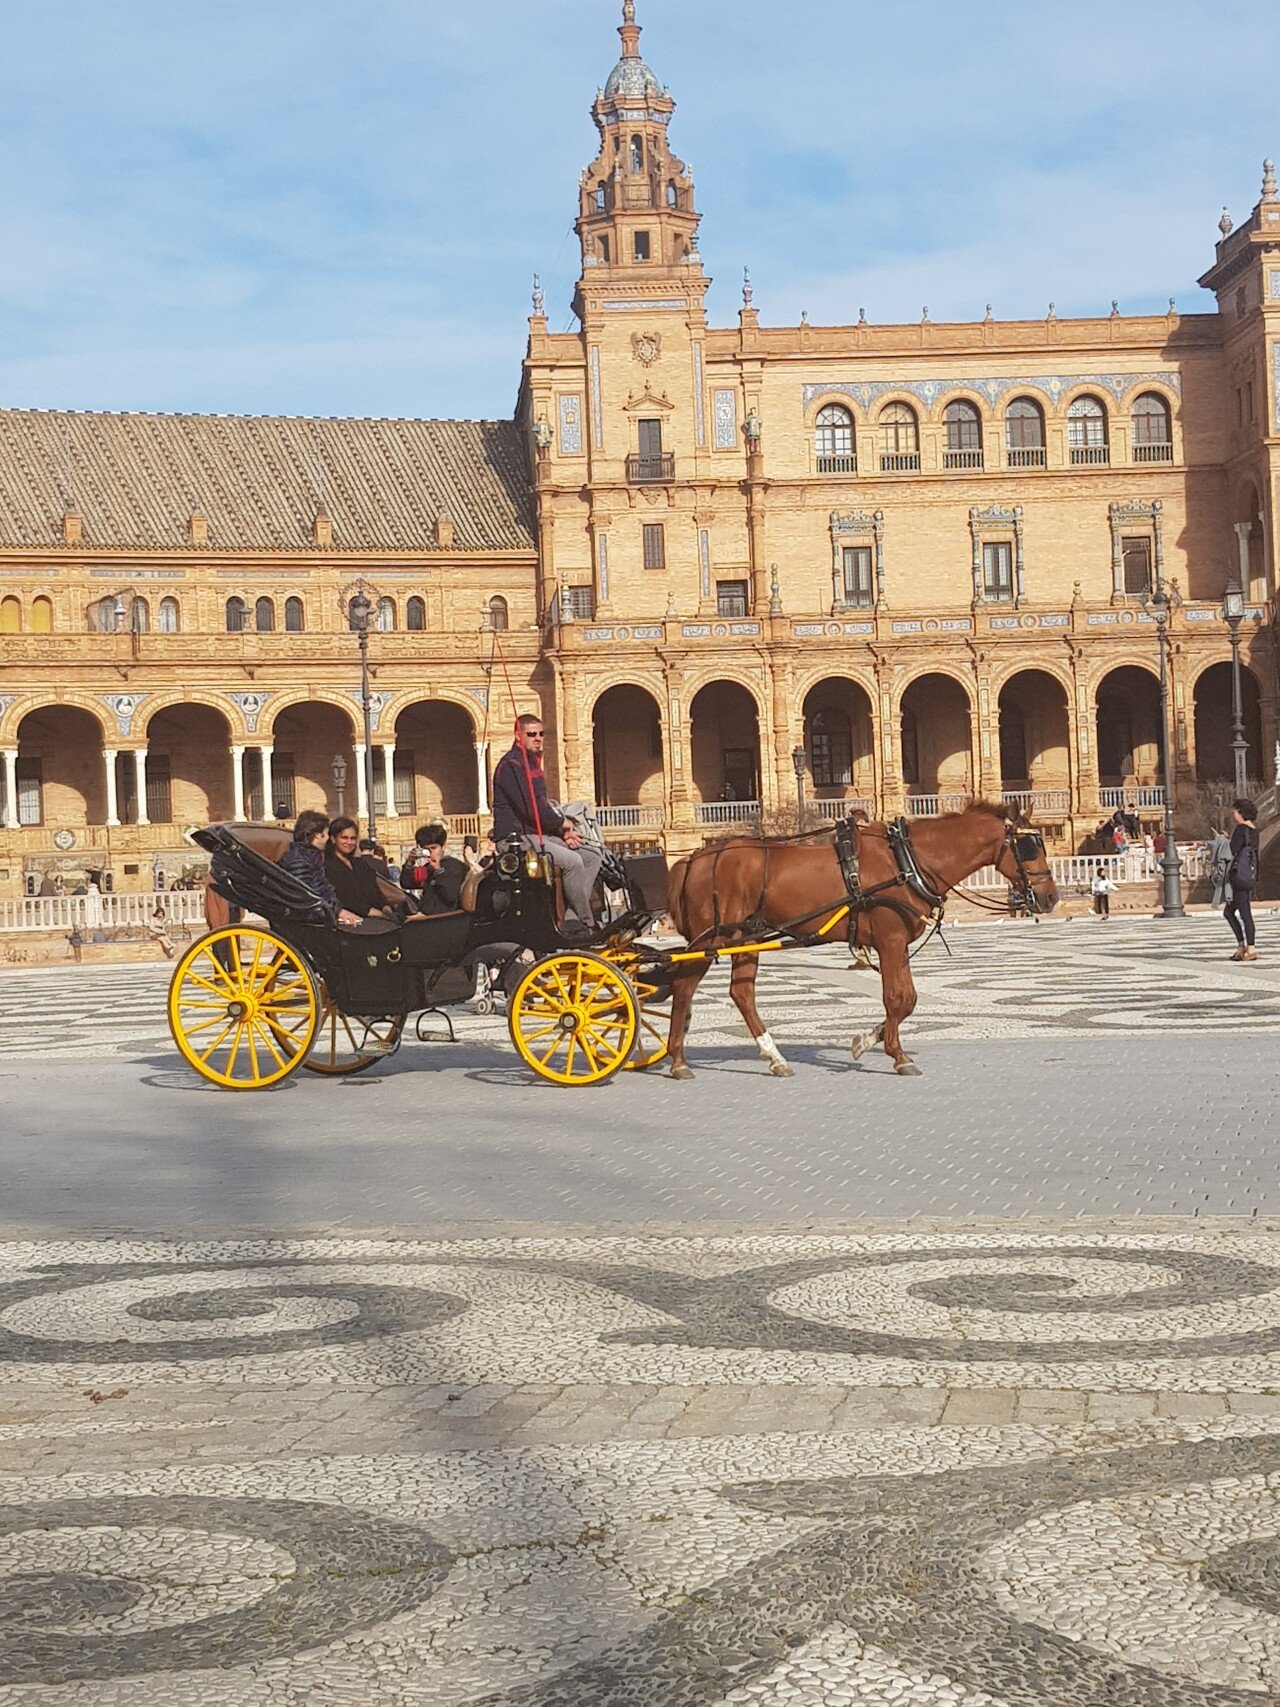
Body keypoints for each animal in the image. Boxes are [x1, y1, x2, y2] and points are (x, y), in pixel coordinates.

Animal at [665, 802, 1058, 1078]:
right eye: (1028, 846)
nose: (1051, 897)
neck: (907, 860)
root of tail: (694, 856)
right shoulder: (890, 940)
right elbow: (899, 999)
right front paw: (897, 1055)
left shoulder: (896, 945)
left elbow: (908, 1001)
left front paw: (868, 1040)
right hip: (713, 939)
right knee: (684, 986)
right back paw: (678, 1060)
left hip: (746, 938)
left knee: (741, 993)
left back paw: (773, 1057)